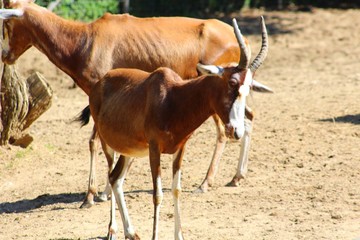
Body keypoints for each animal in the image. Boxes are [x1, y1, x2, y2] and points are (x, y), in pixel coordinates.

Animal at [0, 0, 270, 206]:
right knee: (248, 118)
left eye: (7, 21)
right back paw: (236, 177)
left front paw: (93, 195)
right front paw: (105, 190)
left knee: (225, 132)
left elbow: (94, 143)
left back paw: (205, 184)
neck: (89, 39)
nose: (5, 55)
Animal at [78, 16, 268, 238]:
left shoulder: (180, 149)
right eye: (232, 83)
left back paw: (131, 233)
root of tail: (100, 84)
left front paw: (179, 235)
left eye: (248, 88)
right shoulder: (154, 150)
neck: (172, 97)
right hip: (109, 144)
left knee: (116, 178)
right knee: (110, 174)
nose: (236, 131)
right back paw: (112, 231)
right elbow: (158, 195)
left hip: (130, 151)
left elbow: (176, 189)